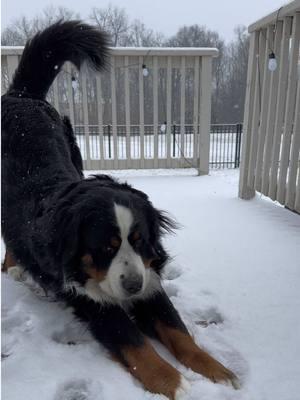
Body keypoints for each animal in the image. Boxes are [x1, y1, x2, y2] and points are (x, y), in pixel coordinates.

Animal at [0, 20, 239, 398]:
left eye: (139, 241)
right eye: (105, 248)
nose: (132, 287)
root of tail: (21, 97)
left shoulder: (150, 278)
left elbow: (179, 332)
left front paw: (219, 371)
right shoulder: (91, 301)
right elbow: (135, 344)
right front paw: (178, 384)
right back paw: (14, 268)